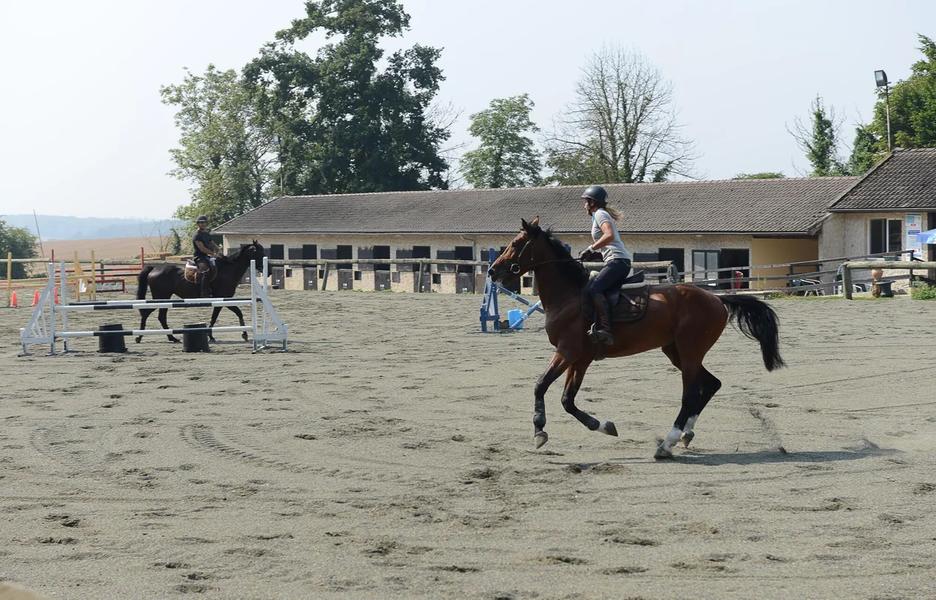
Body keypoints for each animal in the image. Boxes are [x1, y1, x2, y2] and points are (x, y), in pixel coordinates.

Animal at [132, 239, 266, 342]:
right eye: (258, 252)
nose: (265, 268)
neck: (228, 270)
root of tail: (155, 268)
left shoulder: (222, 300)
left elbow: (225, 315)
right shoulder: (223, 299)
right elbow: (229, 314)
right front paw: (242, 334)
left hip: (164, 299)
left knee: (160, 317)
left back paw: (171, 338)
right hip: (161, 298)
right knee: (149, 314)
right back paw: (140, 337)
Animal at [486, 218, 788, 458]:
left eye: (516, 243)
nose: (492, 271)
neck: (569, 296)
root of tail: (717, 298)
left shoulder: (566, 352)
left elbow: (541, 385)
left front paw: (539, 429)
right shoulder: (580, 359)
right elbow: (567, 400)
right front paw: (603, 426)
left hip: (689, 352)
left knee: (691, 394)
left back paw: (667, 443)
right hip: (676, 351)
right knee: (712, 384)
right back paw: (686, 434)